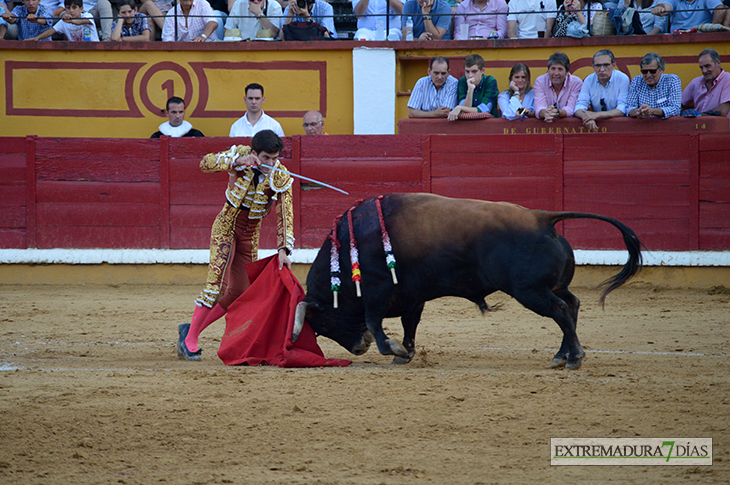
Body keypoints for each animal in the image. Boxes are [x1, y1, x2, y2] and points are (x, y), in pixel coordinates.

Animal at [292, 192, 640, 366]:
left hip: (530, 291)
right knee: (573, 304)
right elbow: (409, 325)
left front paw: (394, 350)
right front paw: (406, 355)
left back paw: (573, 358)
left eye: (324, 324)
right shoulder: (412, 296)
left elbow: (376, 323)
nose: (359, 348)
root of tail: (542, 218)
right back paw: (562, 354)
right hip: (552, 286)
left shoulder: (378, 292)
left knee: (561, 310)